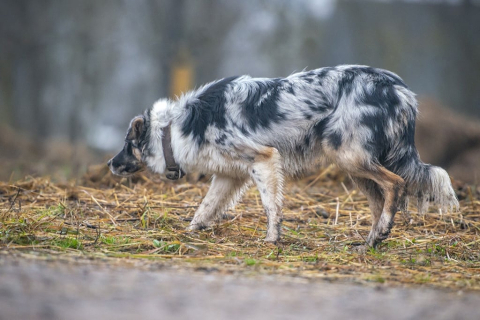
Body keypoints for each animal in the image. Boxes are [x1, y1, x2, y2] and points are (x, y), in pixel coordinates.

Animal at [107, 65, 460, 248]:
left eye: (126, 143)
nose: (110, 163)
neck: (177, 126)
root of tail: (399, 90)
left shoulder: (263, 160)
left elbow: (271, 206)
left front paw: (271, 239)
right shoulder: (228, 176)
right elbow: (204, 209)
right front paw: (190, 233)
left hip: (348, 156)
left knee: (396, 185)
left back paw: (380, 235)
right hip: (355, 166)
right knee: (380, 199)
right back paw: (371, 243)